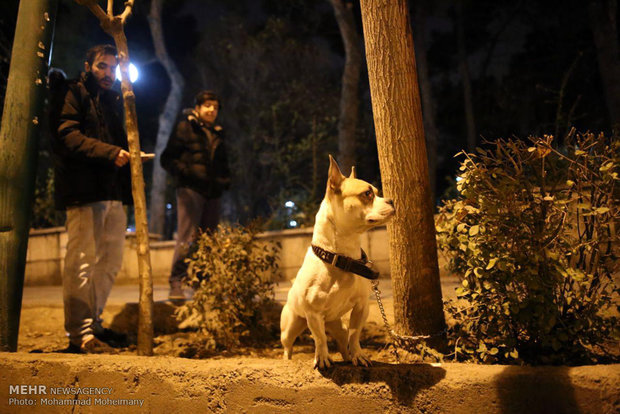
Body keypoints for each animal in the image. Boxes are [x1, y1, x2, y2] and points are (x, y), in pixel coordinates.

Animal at [280, 156, 392, 368]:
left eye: (377, 192)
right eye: (367, 194)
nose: (391, 199)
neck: (341, 257)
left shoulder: (361, 308)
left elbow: (354, 335)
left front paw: (359, 355)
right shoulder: (313, 314)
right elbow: (320, 338)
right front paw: (322, 358)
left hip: (337, 326)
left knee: (343, 342)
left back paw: (349, 358)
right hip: (291, 327)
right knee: (288, 346)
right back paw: (287, 360)